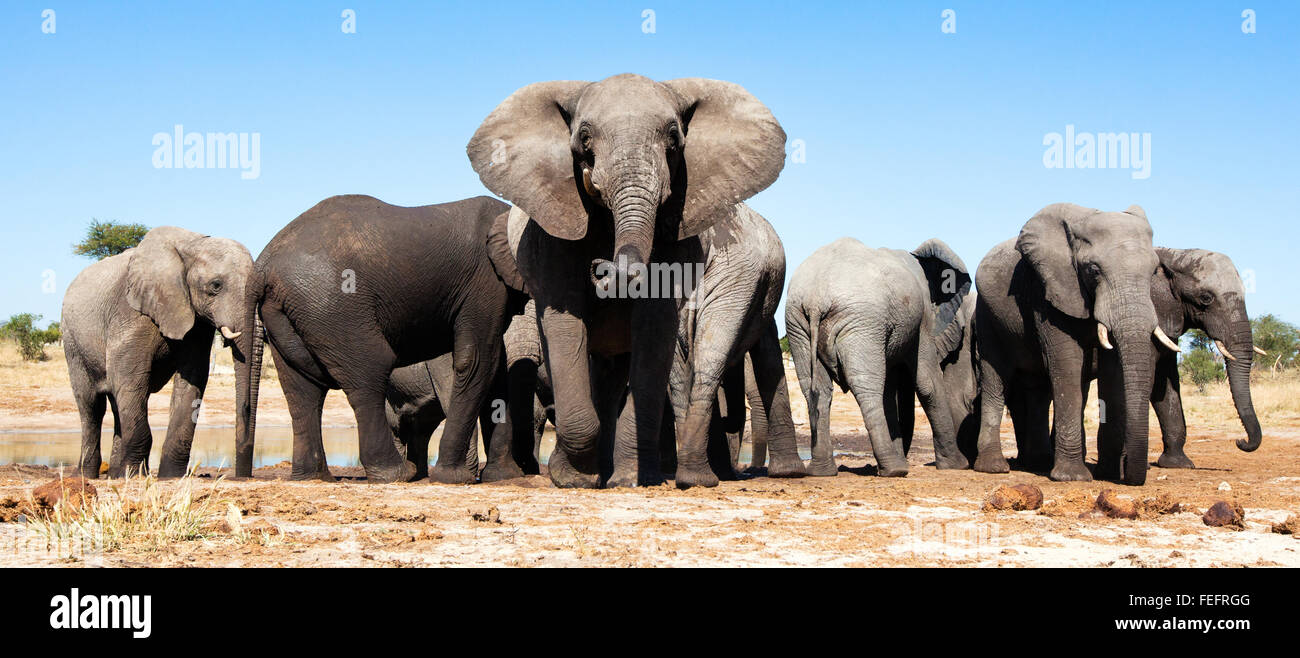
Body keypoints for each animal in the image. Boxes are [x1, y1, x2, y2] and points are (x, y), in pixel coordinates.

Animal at [780, 239, 977, 475]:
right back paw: (894, 469)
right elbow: (927, 383)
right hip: (861, 322)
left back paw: (822, 471)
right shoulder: (922, 320)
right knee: (867, 385)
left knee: (817, 388)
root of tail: (816, 298)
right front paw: (957, 465)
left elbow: (890, 390)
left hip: (798, 324)